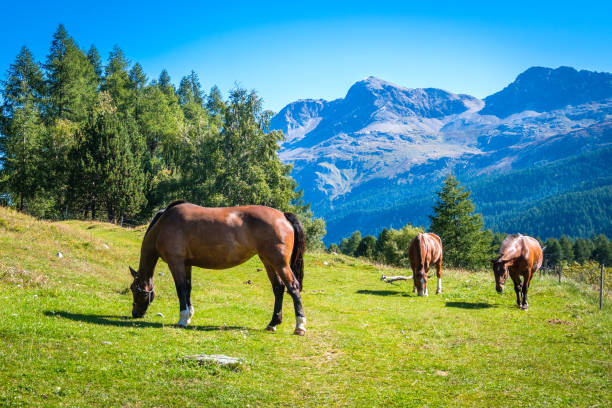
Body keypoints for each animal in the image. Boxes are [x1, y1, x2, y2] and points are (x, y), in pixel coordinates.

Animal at [131, 200, 308, 334]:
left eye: (134, 290)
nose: (135, 314)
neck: (164, 224)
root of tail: (283, 216)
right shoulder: (186, 264)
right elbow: (188, 288)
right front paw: (189, 316)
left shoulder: (176, 263)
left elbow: (181, 289)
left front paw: (182, 319)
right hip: (268, 260)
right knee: (278, 288)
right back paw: (272, 323)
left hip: (280, 263)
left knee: (293, 287)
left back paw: (299, 326)